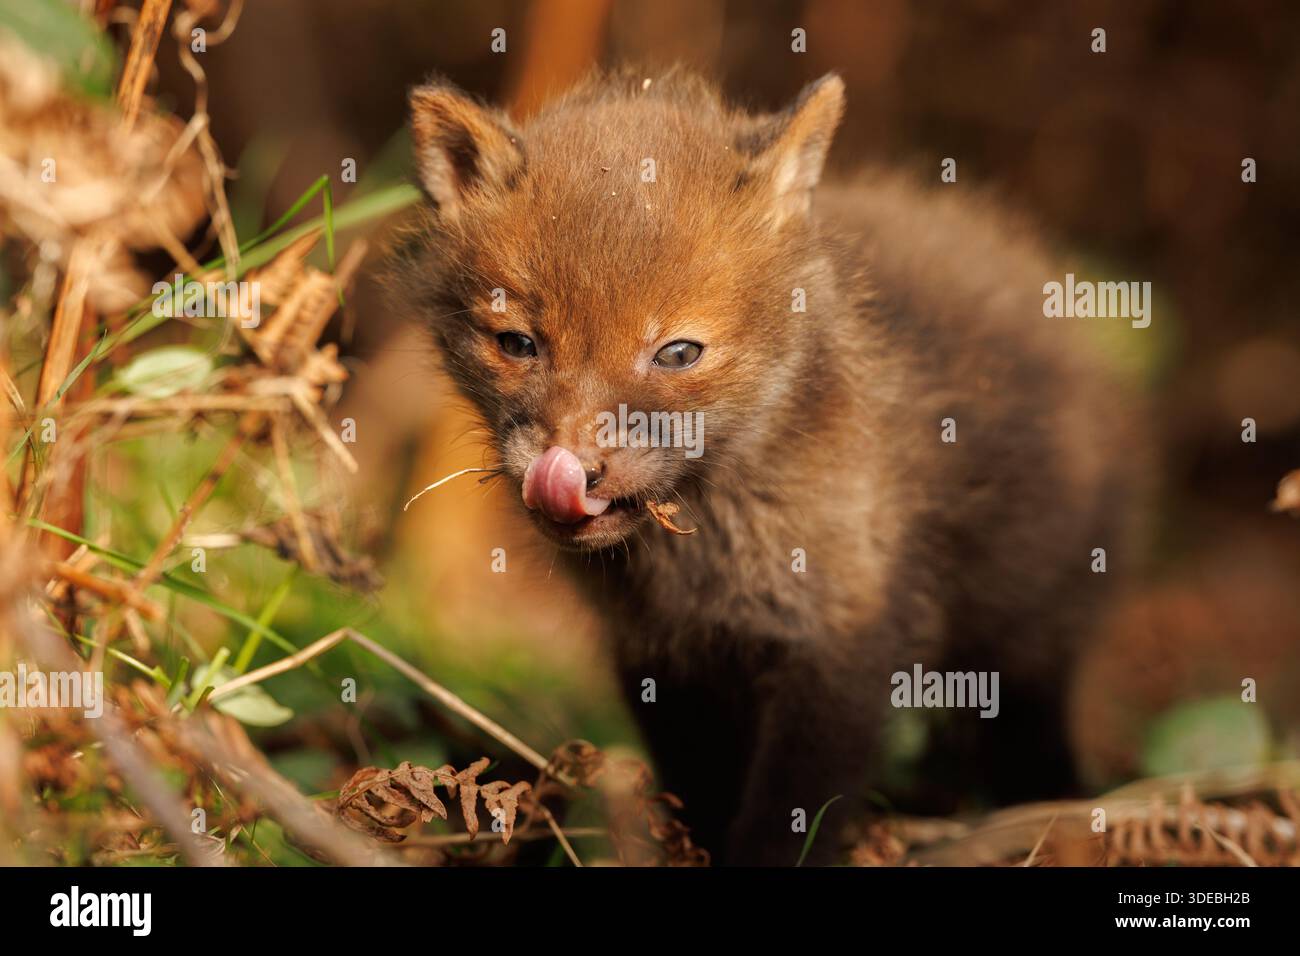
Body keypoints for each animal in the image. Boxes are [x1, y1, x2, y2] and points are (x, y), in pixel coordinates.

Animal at [392, 67, 1139, 865]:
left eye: (678, 352)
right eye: (517, 344)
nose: (572, 469)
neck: (702, 558)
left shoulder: (843, 630)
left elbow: (790, 811)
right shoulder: (660, 656)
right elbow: (701, 791)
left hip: (1031, 632)